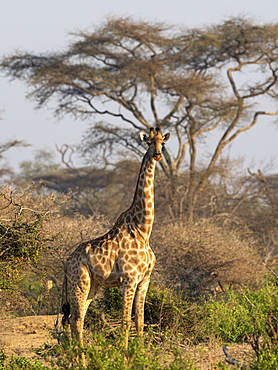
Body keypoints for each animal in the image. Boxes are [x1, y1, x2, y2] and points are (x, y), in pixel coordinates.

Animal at [62, 127, 170, 352]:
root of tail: (67, 263)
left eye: (162, 143)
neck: (143, 230)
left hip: (94, 285)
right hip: (80, 282)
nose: (157, 155)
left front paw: (141, 354)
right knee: (76, 319)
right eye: (149, 143)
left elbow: (140, 320)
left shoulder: (144, 280)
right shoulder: (129, 279)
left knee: (77, 319)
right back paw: (80, 356)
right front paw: (125, 354)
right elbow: (126, 321)